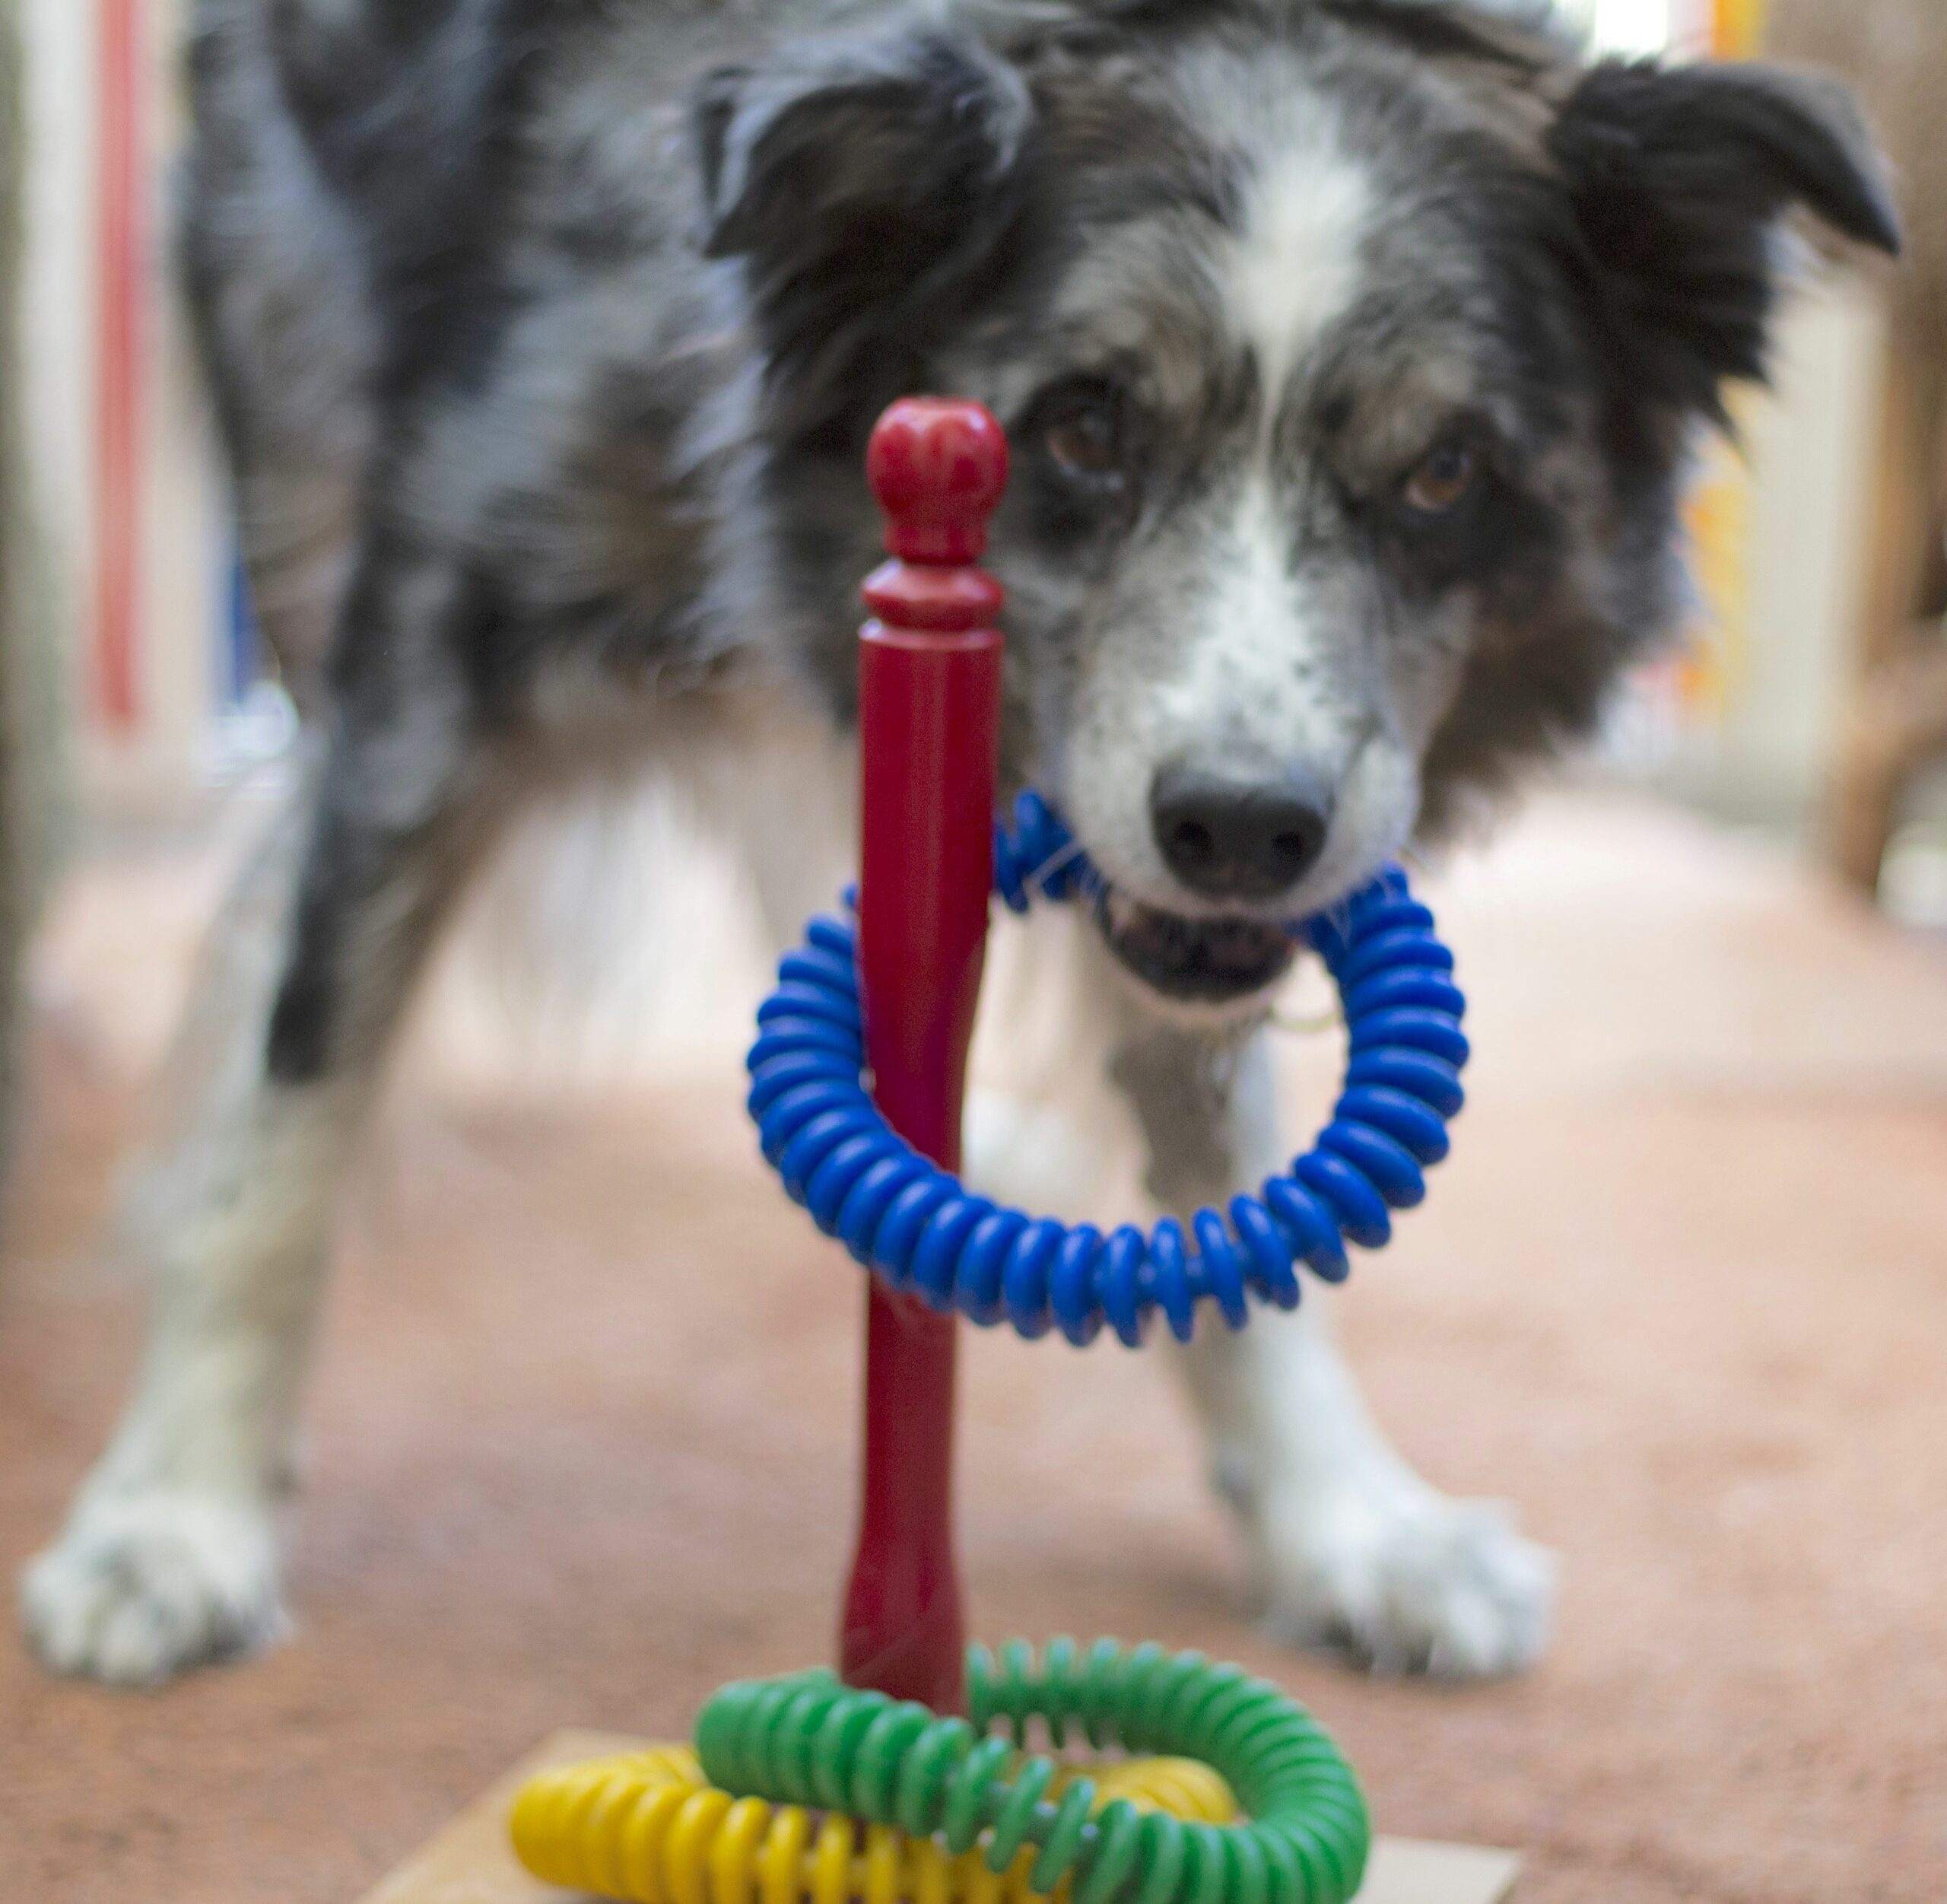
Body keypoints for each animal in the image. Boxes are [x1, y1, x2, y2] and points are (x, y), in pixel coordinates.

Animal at [18, 0, 1900, 1689]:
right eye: (1080, 427)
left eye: (1442, 472)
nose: (1241, 830)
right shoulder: (434, 663)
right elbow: (294, 1127)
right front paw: (171, 1517)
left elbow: (1232, 1191)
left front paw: (1344, 1521)